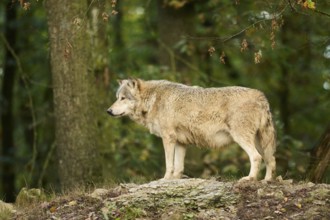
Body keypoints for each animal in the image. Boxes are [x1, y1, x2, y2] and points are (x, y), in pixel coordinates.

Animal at [106, 79, 276, 182]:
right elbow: (179, 167)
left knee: (256, 157)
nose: (108, 111)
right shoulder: (181, 142)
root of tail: (261, 95)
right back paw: (266, 181)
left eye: (123, 98)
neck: (153, 100)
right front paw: (175, 180)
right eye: (117, 97)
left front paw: (165, 179)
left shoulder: (168, 138)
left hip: (242, 138)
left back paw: (249, 179)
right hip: (260, 141)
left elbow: (169, 164)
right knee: (271, 160)